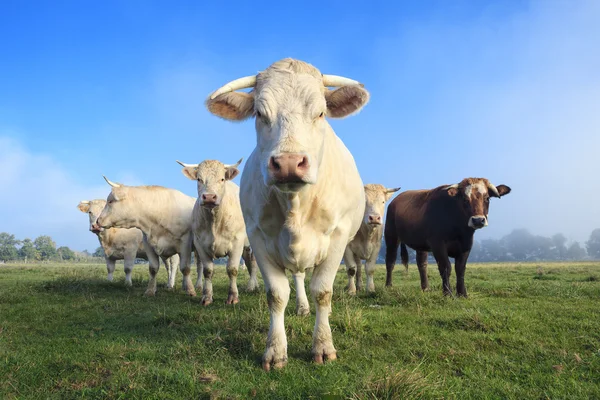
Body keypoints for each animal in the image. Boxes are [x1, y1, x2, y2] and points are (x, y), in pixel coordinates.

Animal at [173, 158, 258, 304]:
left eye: (222, 179)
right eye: (199, 179)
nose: (209, 197)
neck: (214, 221)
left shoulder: (237, 243)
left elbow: (232, 270)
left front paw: (233, 297)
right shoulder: (200, 244)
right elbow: (208, 271)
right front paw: (207, 296)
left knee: (252, 262)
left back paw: (251, 286)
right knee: (248, 261)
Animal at [206, 57, 368, 370]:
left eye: (320, 112)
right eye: (259, 113)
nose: (290, 163)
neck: (295, 206)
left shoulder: (338, 238)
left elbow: (323, 291)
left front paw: (323, 345)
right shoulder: (257, 237)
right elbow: (277, 294)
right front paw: (275, 350)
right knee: (299, 277)